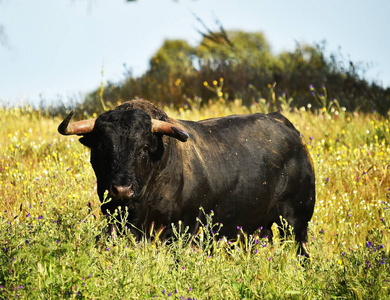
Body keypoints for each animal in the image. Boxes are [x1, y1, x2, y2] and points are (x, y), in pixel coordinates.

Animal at [58, 99, 316, 254]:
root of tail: (284, 125)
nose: (122, 190)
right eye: (102, 148)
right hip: (258, 227)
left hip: (296, 220)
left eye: (143, 148)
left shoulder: (184, 230)